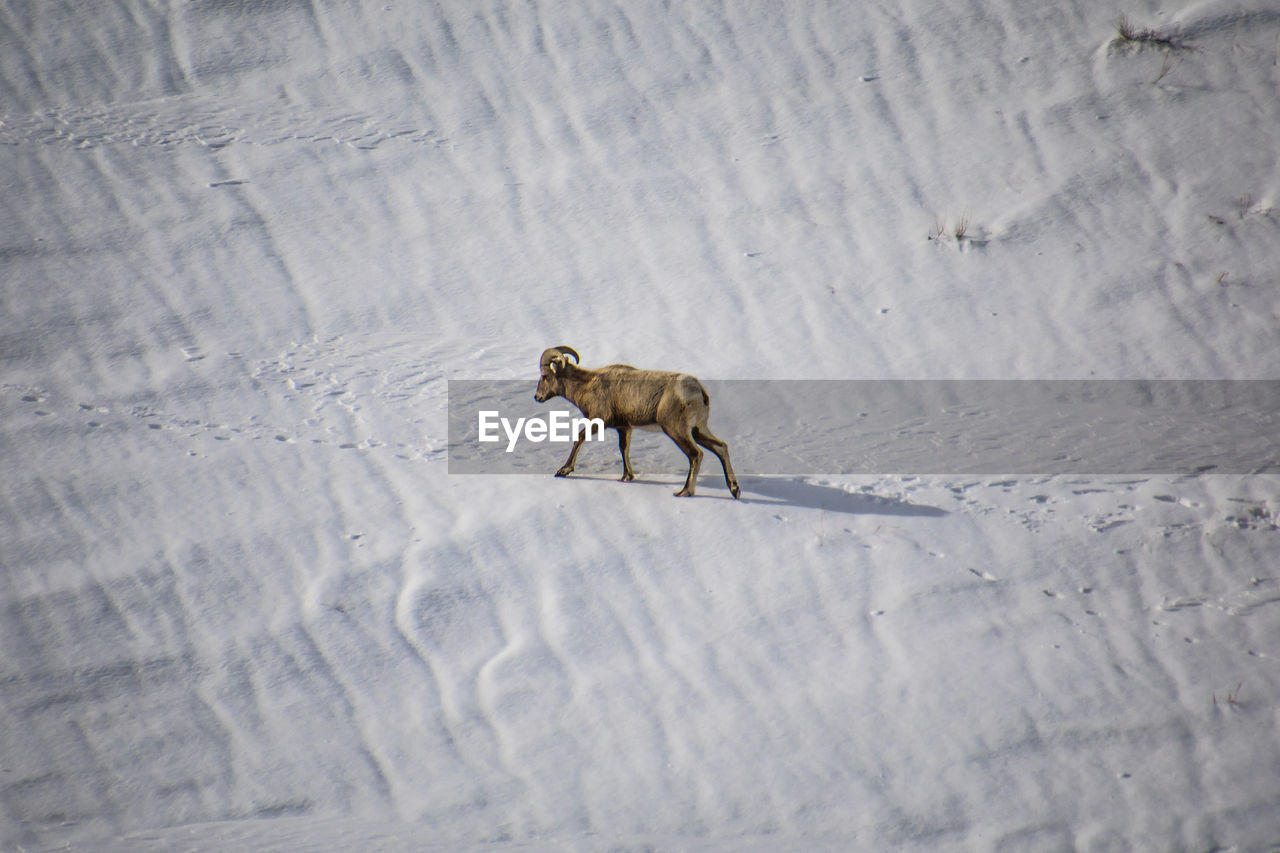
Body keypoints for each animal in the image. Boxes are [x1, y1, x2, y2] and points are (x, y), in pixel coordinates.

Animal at [535, 343, 747, 494]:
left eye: (545, 376)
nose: (537, 397)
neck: (587, 386)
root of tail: (698, 391)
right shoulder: (624, 428)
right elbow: (624, 449)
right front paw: (626, 477)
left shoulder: (599, 421)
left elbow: (579, 438)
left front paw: (563, 470)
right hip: (698, 430)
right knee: (721, 447)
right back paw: (734, 489)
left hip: (677, 431)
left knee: (696, 455)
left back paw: (685, 492)